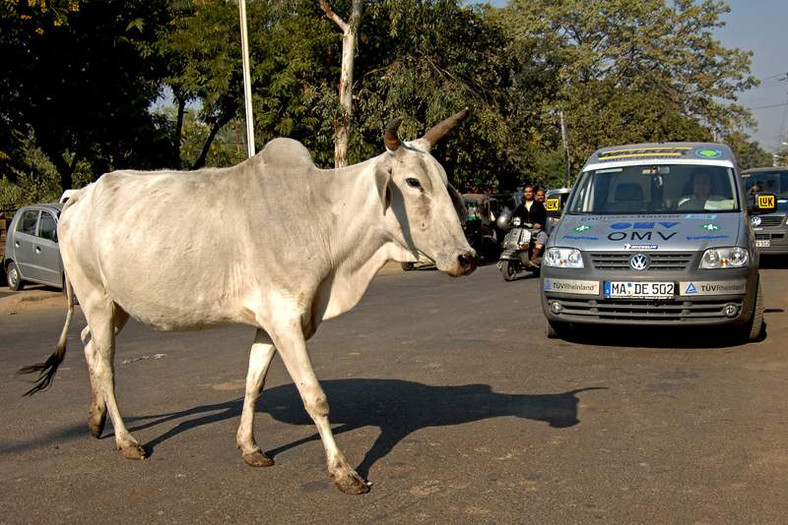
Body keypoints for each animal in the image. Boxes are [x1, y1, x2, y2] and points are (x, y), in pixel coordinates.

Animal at [21, 108, 478, 494]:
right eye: (413, 182)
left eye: (444, 181)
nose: (467, 257)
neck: (321, 215)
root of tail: (78, 195)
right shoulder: (285, 319)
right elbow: (315, 398)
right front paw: (343, 472)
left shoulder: (269, 322)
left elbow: (253, 383)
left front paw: (250, 448)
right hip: (96, 296)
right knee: (105, 363)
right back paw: (125, 440)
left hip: (116, 305)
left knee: (87, 344)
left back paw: (95, 419)